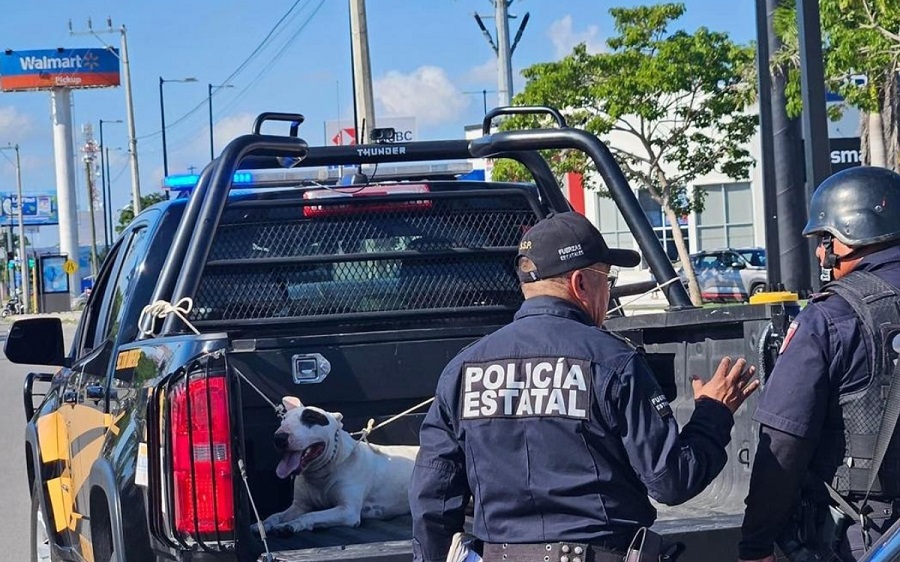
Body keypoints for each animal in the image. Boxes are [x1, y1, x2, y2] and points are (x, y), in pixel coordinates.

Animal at [256, 394, 418, 532]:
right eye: (283, 420)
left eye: (311, 418)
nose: (279, 438)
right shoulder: (299, 506)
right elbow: (276, 515)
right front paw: (264, 524)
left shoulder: (347, 511)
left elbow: (312, 515)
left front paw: (292, 524)